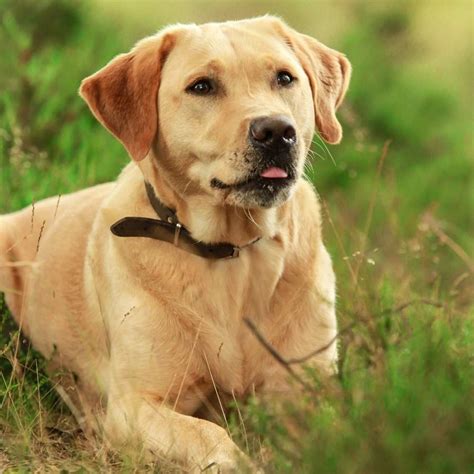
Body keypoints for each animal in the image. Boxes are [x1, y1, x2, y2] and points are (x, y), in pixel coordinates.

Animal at [0, 16, 348, 472]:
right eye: (202, 86)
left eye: (284, 78)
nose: (276, 131)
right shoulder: (133, 406)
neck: (233, 251)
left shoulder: (305, 393)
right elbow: (212, 436)